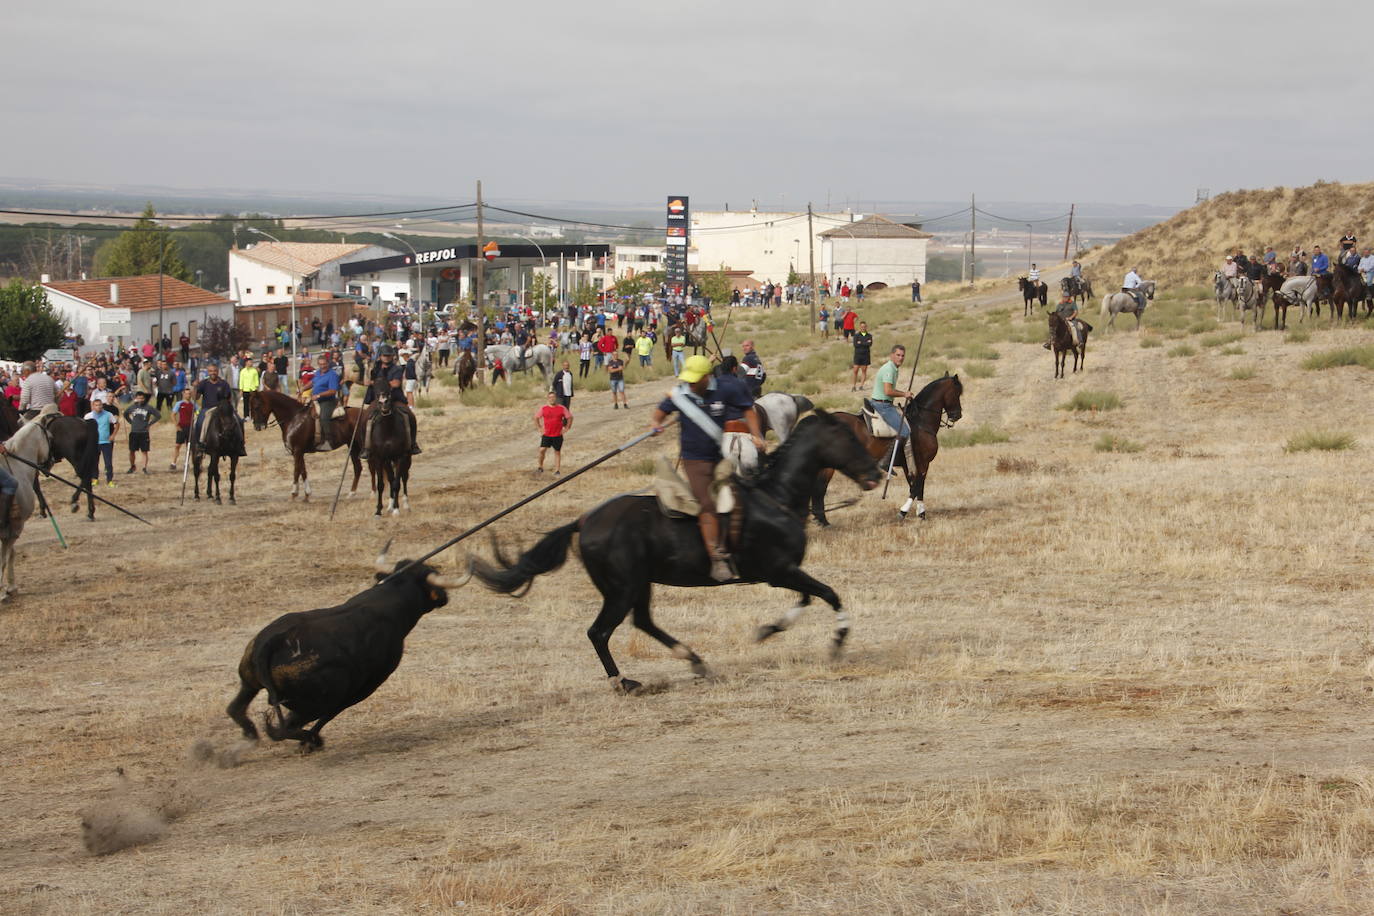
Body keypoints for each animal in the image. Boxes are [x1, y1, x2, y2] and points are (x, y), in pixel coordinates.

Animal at [0, 417, 49, 601]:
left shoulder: (8, 531)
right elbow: (5, 557)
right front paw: (3, 591)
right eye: (50, 436)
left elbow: (10, 555)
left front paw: (11, 587)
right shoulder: (15, 528)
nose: (50, 462)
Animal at [229, 552, 472, 752]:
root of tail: (275, 641)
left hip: (250, 681)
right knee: (284, 728)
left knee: (237, 710)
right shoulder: (364, 687)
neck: (390, 598)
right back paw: (310, 740)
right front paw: (311, 741)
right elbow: (331, 714)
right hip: (316, 701)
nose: (444, 597)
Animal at [472, 411, 879, 692]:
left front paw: (767, 630)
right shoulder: (780, 571)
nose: (875, 475)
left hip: (639, 585)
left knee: (643, 622)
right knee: (599, 632)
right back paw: (624, 683)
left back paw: (694, 660)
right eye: (848, 438)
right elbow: (829, 594)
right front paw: (837, 641)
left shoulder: (784, 573)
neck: (774, 496)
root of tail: (584, 521)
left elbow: (809, 599)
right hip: (621, 589)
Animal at [802, 376, 967, 527]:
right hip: (828, 466)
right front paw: (903, 512)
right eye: (957, 393)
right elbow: (918, 485)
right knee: (820, 489)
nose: (957, 415)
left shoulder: (909, 465)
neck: (920, 421)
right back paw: (824, 521)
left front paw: (921, 513)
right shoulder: (923, 462)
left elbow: (915, 486)